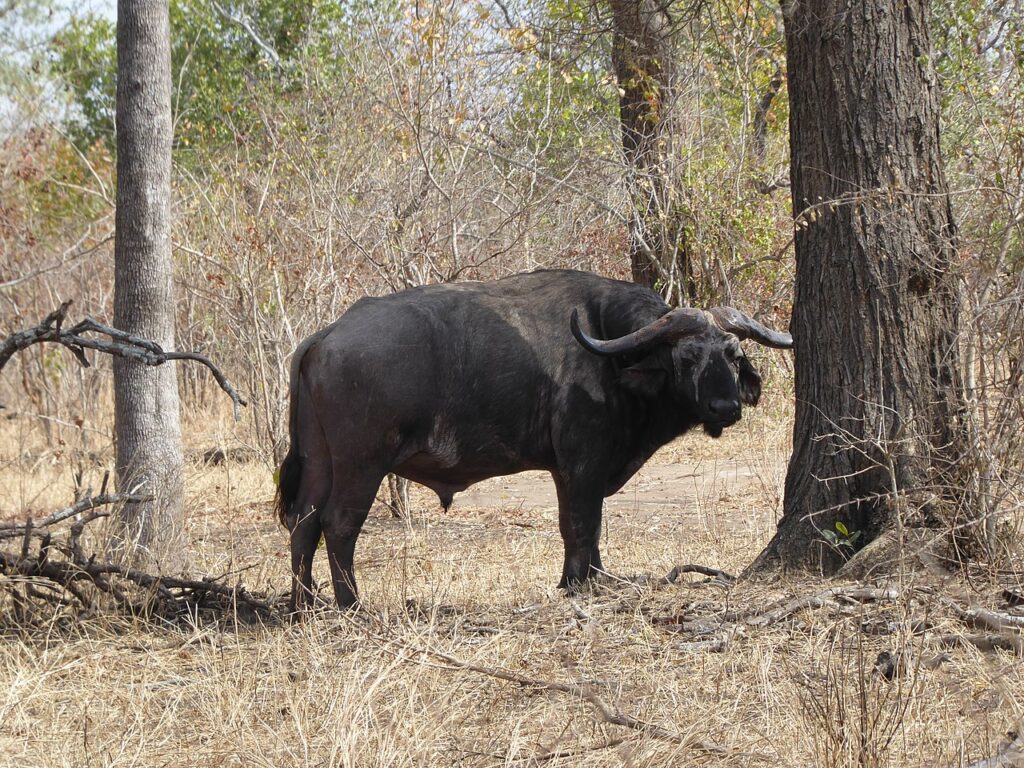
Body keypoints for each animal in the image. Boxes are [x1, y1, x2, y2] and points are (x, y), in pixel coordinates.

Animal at [274, 268, 790, 610]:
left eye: (733, 354)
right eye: (687, 357)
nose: (726, 407)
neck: (611, 353)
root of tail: (325, 337)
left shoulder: (566, 471)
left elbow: (573, 527)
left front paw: (578, 580)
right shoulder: (584, 465)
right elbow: (584, 524)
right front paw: (582, 585)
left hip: (319, 461)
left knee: (303, 522)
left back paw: (304, 603)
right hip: (362, 464)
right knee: (339, 523)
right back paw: (351, 603)